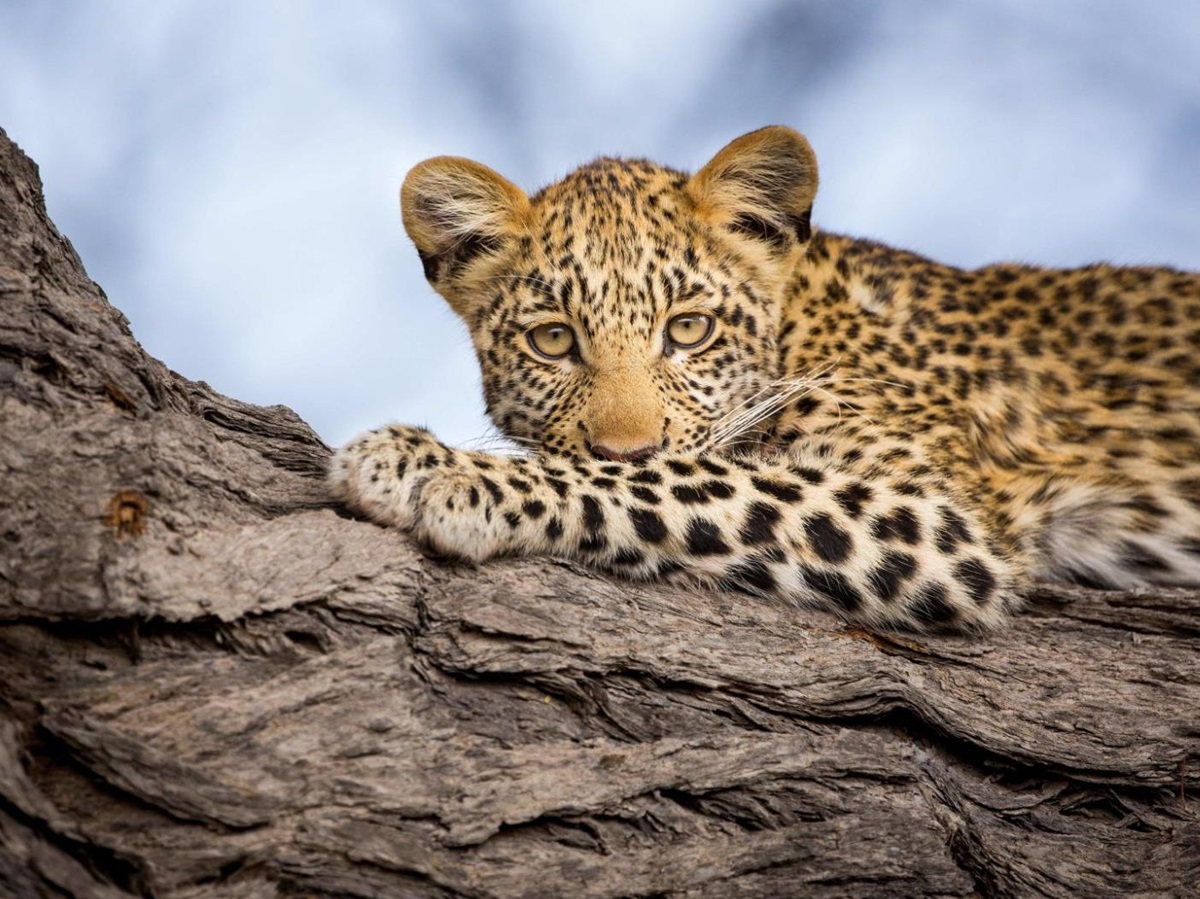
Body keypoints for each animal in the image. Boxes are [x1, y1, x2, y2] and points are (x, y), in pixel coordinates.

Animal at [330, 126, 1200, 632]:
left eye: (689, 330)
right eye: (553, 341)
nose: (625, 445)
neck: (800, 325)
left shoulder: (943, 520)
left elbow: (685, 480)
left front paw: (435, 466)